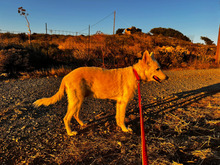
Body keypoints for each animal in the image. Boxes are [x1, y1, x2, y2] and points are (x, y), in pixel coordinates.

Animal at [33, 51, 168, 136]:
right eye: (158, 69)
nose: (167, 78)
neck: (135, 73)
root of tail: (66, 77)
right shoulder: (123, 102)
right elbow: (122, 117)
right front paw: (125, 129)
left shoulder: (119, 102)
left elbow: (118, 117)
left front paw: (120, 126)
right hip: (76, 100)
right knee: (66, 118)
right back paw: (70, 133)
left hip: (79, 100)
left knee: (75, 114)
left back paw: (82, 124)